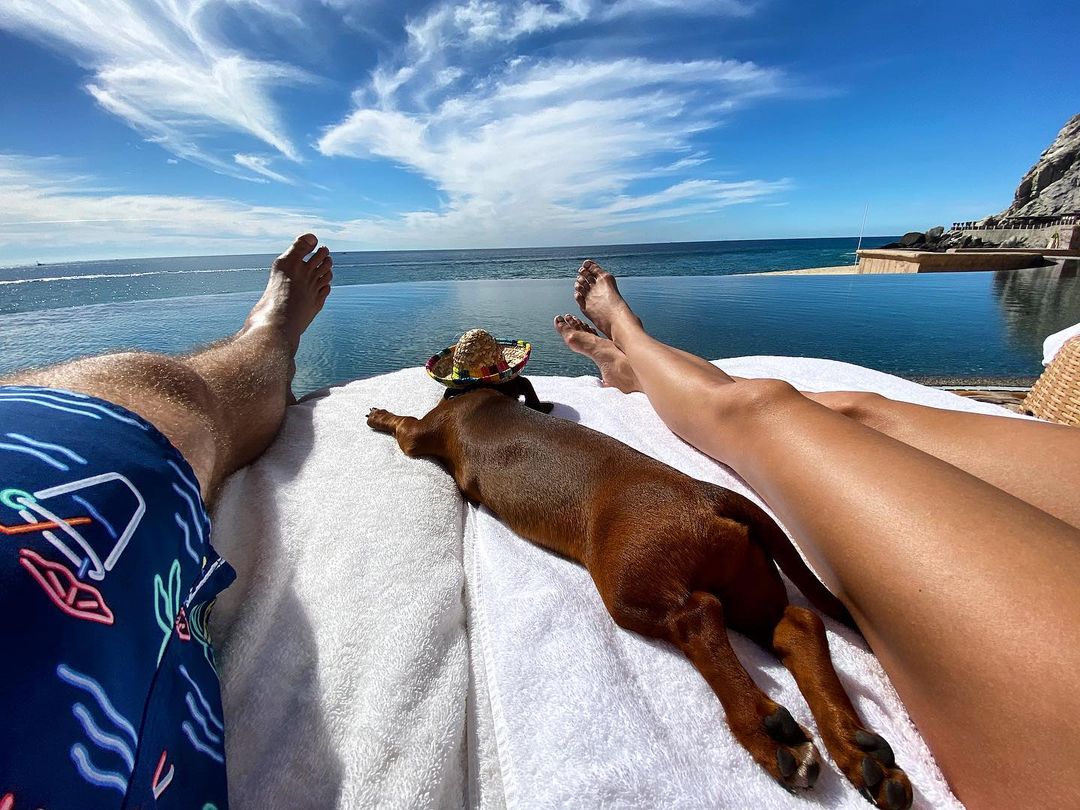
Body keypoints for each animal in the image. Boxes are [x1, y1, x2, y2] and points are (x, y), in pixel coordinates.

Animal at [367, 378, 912, 809]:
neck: (484, 397)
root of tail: (709, 493)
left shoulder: (425, 432)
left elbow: (406, 427)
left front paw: (380, 416)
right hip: (749, 588)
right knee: (797, 626)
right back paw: (860, 752)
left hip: (631, 588)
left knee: (698, 618)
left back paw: (767, 731)